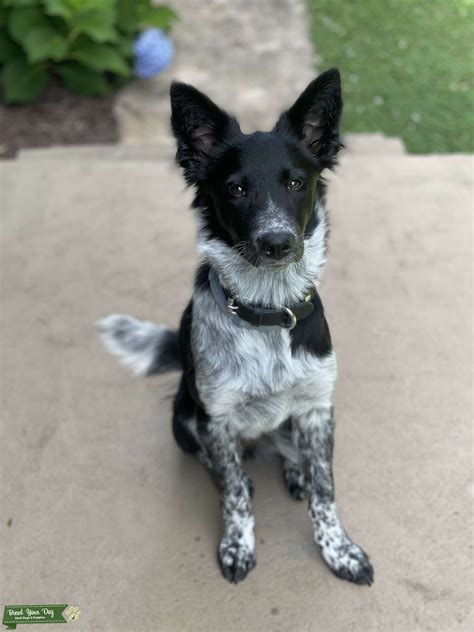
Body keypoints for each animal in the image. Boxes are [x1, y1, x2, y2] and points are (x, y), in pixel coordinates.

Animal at [99, 66, 374, 584]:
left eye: (296, 182)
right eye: (236, 189)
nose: (276, 243)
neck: (267, 309)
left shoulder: (318, 408)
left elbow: (325, 490)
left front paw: (339, 549)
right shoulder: (216, 418)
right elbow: (233, 495)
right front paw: (237, 545)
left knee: (291, 450)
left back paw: (294, 469)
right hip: (184, 420)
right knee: (220, 466)